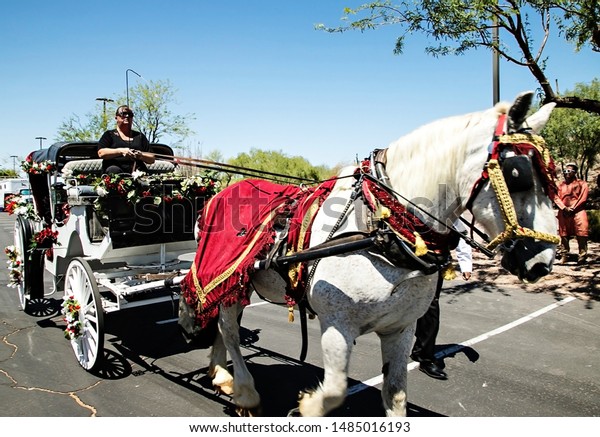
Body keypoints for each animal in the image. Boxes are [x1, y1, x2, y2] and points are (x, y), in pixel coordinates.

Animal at [198, 92, 556, 416]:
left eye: (552, 180)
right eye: (517, 174)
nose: (544, 261)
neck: (381, 226)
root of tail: (219, 193)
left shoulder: (401, 329)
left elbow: (395, 395)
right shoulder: (337, 326)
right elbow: (334, 392)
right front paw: (305, 407)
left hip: (236, 286)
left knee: (221, 325)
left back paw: (220, 373)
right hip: (225, 280)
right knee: (229, 329)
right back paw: (243, 390)